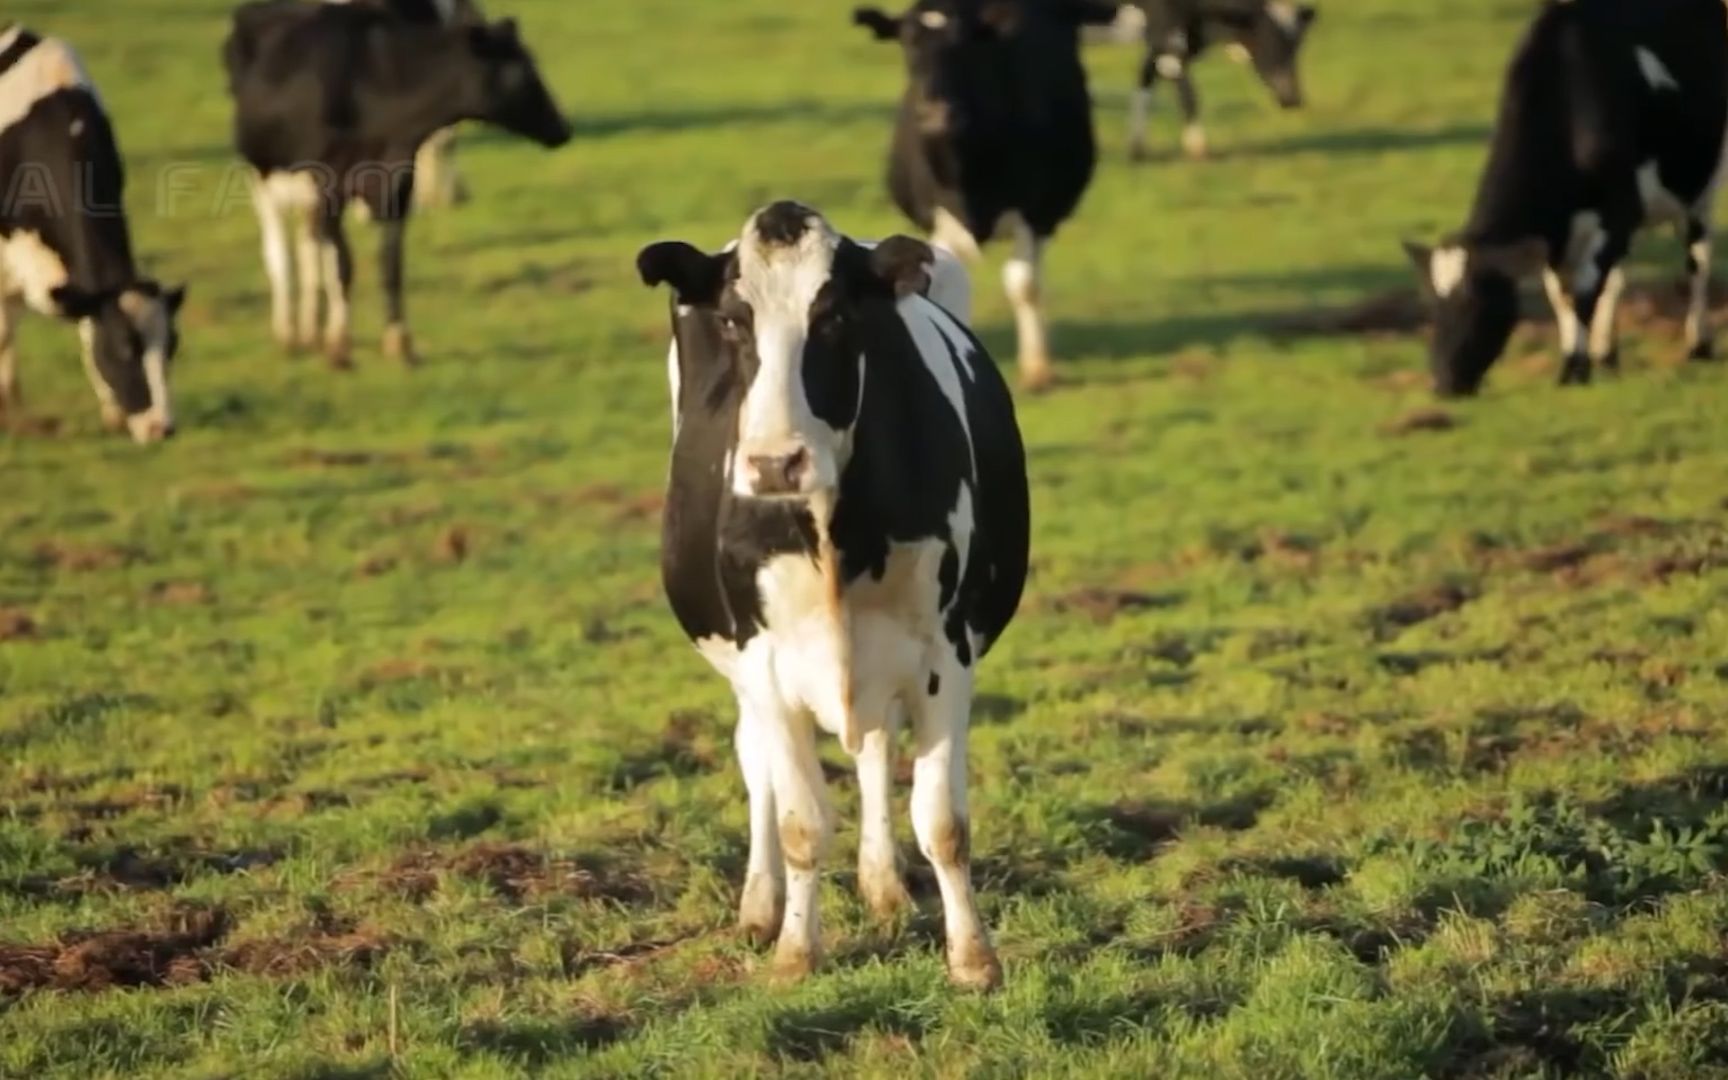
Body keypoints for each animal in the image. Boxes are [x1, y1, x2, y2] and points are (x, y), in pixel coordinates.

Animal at [219, 1, 573, 366]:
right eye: (521, 71)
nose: (563, 128)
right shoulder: (330, 186)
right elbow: (342, 265)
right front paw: (341, 343)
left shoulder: (397, 185)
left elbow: (390, 265)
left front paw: (400, 341)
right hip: (262, 176)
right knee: (280, 254)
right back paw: (289, 333)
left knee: (309, 251)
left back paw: (310, 328)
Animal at [642, 200, 1029, 988]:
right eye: (734, 320)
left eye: (836, 318)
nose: (773, 463)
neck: (829, 530)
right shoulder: (763, 660)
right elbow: (800, 821)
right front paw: (796, 951)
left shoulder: (946, 653)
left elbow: (943, 821)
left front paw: (973, 957)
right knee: (756, 758)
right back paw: (760, 906)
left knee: (876, 748)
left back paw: (882, 883)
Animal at [850, 0, 1119, 387]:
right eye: (908, 43)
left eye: (963, 45)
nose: (936, 112)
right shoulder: (939, 219)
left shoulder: (1035, 214)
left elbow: (1025, 285)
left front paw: (1037, 370)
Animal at [1112, 0, 1313, 160]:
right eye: (1270, 37)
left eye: (1297, 45)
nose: (1293, 99)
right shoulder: (1167, 39)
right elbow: (1189, 96)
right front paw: (1198, 148)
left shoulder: (1161, 46)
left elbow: (1144, 81)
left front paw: (1137, 149)